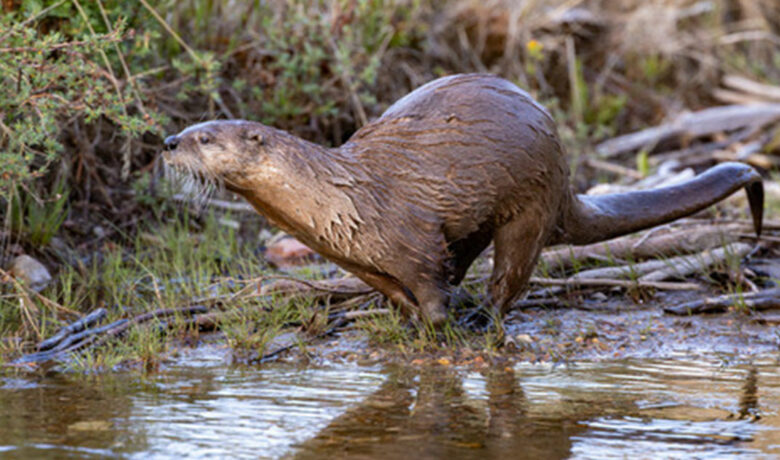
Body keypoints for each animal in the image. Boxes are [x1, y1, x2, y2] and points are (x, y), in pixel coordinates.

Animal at [163, 74, 763, 325]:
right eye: (189, 128)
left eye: (206, 138)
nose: (168, 142)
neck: (338, 198)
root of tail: (567, 176)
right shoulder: (354, 255)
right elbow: (393, 288)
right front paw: (405, 319)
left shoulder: (407, 236)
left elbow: (427, 281)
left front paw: (436, 323)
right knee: (468, 256)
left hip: (532, 202)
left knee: (511, 275)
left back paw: (482, 317)